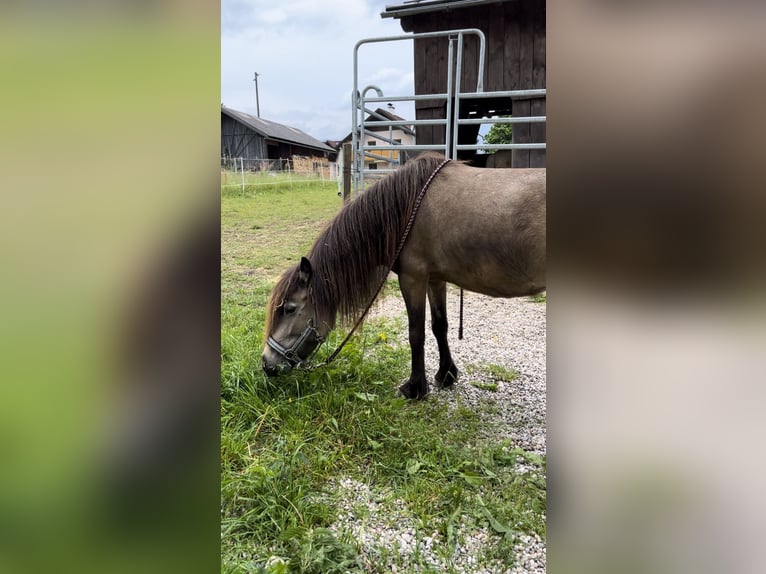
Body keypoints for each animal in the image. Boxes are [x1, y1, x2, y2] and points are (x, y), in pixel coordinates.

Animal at [264, 155, 544, 402]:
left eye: (290, 309)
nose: (267, 364)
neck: (407, 206)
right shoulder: (435, 279)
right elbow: (439, 326)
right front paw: (446, 375)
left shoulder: (413, 279)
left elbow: (416, 333)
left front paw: (415, 388)